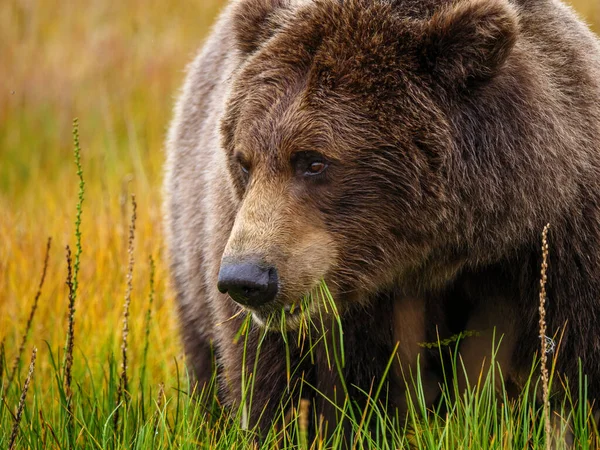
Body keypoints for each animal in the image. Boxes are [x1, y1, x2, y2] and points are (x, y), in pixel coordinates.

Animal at [164, 0, 600, 438]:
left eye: (313, 161)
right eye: (244, 160)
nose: (247, 278)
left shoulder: (558, 248)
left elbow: (571, 374)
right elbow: (291, 389)